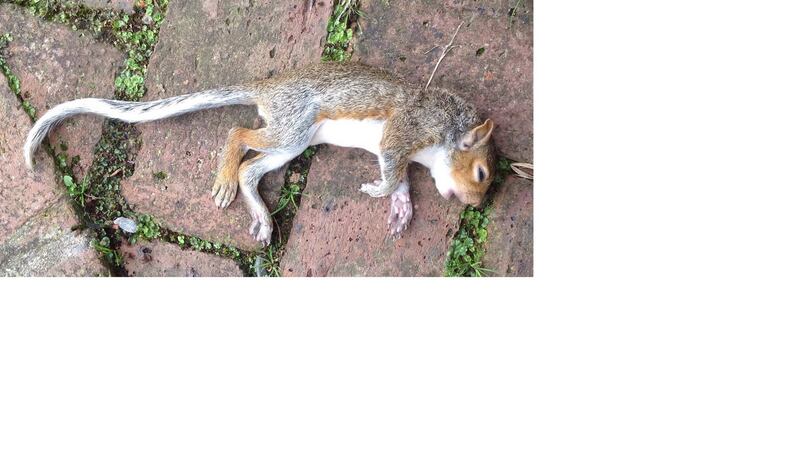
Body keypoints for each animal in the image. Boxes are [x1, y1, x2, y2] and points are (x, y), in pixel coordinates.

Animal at [23, 61, 496, 245]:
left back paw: (261, 217)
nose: (475, 205)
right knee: (237, 135)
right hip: (292, 129)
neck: (446, 131)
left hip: (294, 141)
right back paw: (225, 181)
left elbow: (401, 182)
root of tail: (267, 89)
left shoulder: (401, 152)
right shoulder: (403, 132)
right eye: (481, 173)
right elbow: (391, 170)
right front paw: (377, 191)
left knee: (251, 170)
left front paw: (401, 209)